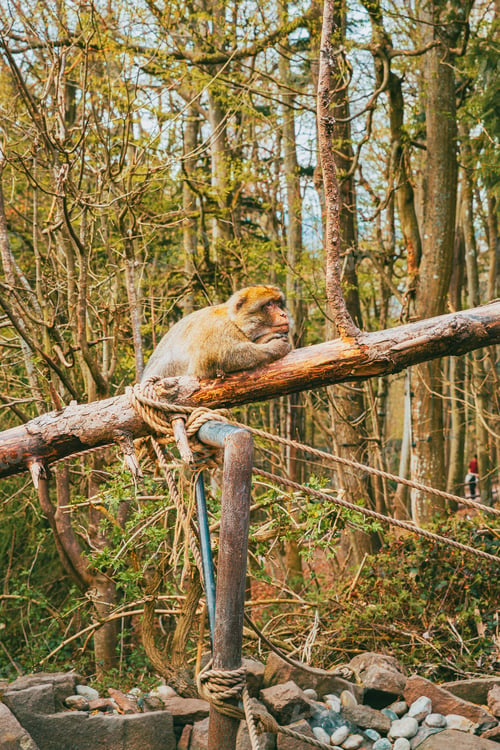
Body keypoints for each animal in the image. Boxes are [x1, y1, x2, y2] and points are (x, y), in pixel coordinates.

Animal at [142, 285, 291, 381]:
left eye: (278, 303)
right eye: (269, 304)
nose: (283, 314)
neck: (233, 322)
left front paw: (263, 340)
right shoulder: (217, 327)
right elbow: (211, 357)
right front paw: (274, 346)